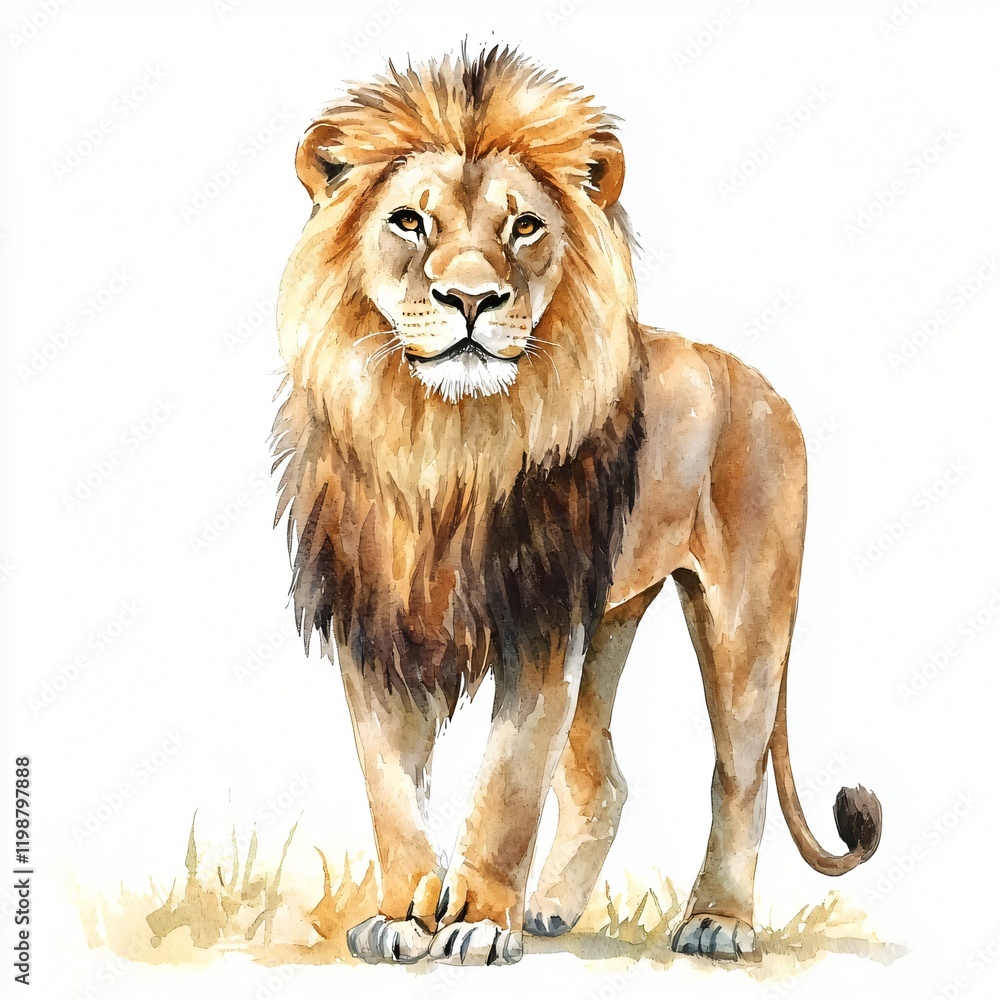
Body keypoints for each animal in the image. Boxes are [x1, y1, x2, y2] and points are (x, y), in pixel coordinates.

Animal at [271, 47, 882, 967]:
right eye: (409, 222)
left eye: (523, 228)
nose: (472, 300)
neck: (446, 444)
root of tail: (755, 379)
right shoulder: (375, 621)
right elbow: (391, 789)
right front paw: (403, 917)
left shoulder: (540, 627)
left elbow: (508, 787)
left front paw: (482, 921)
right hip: (609, 623)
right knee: (604, 780)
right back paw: (553, 908)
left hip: (743, 620)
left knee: (737, 777)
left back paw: (718, 922)